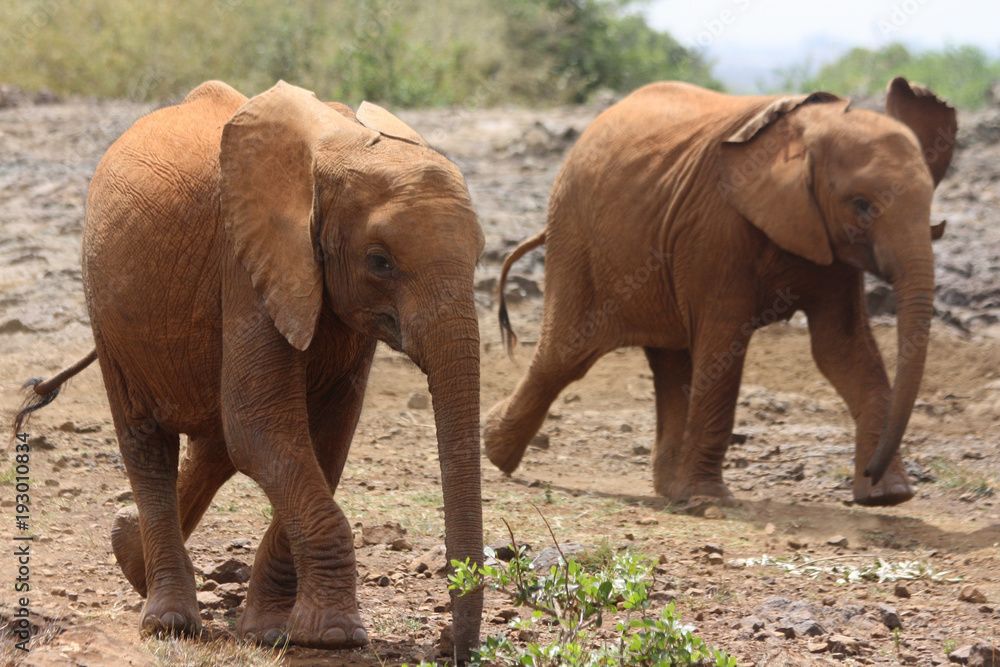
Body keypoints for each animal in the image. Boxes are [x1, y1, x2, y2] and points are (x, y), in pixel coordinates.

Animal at [488, 77, 956, 506]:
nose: (870, 471)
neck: (809, 131)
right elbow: (725, 343)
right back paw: (494, 452)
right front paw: (708, 500)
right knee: (565, 354)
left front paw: (889, 496)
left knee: (670, 366)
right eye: (861, 205)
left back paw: (669, 490)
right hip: (577, 238)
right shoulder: (716, 227)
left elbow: (843, 349)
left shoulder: (829, 243)